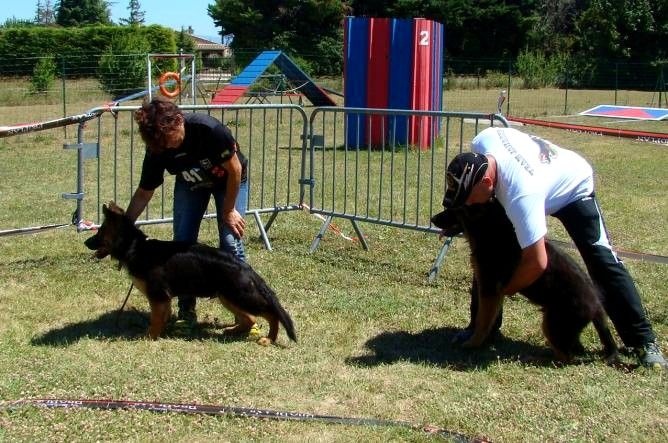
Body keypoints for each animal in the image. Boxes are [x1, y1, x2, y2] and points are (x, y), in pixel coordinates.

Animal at [85, 202, 296, 346]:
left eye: (100, 232)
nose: (86, 242)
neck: (135, 246)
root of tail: (245, 267)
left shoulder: (158, 296)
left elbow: (155, 321)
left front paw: (148, 337)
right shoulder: (164, 299)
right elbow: (161, 318)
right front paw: (162, 332)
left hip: (240, 296)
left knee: (272, 314)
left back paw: (269, 339)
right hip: (227, 297)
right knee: (251, 318)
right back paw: (233, 330)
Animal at [434, 201, 616, 364]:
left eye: (454, 209)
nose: (432, 218)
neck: (488, 227)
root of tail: (596, 305)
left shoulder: (489, 289)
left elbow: (482, 321)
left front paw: (473, 343)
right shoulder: (494, 293)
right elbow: (489, 318)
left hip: (552, 324)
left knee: (566, 358)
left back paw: (536, 358)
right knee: (573, 351)